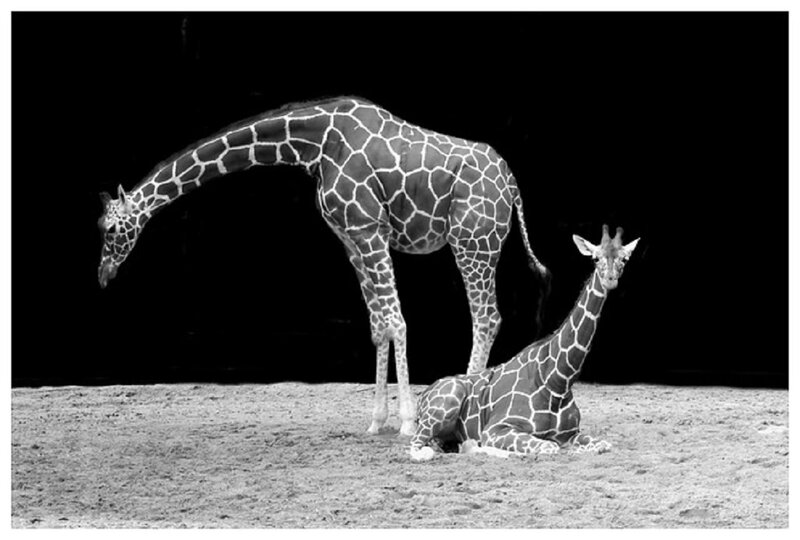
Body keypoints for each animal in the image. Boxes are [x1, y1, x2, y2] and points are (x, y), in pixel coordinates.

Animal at [96, 96, 549, 436]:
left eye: (112, 228)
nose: (103, 275)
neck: (315, 145)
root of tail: (512, 185)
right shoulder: (351, 239)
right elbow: (378, 325)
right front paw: (376, 421)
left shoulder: (369, 229)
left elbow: (397, 320)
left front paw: (405, 422)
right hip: (475, 243)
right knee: (484, 316)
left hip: (473, 241)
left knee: (487, 317)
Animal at [408, 225, 639, 460]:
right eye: (595, 258)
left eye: (624, 258)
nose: (610, 279)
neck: (558, 380)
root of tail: (423, 396)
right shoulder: (496, 428)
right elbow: (550, 447)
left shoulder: (570, 433)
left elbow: (603, 444)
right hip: (445, 405)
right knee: (417, 448)